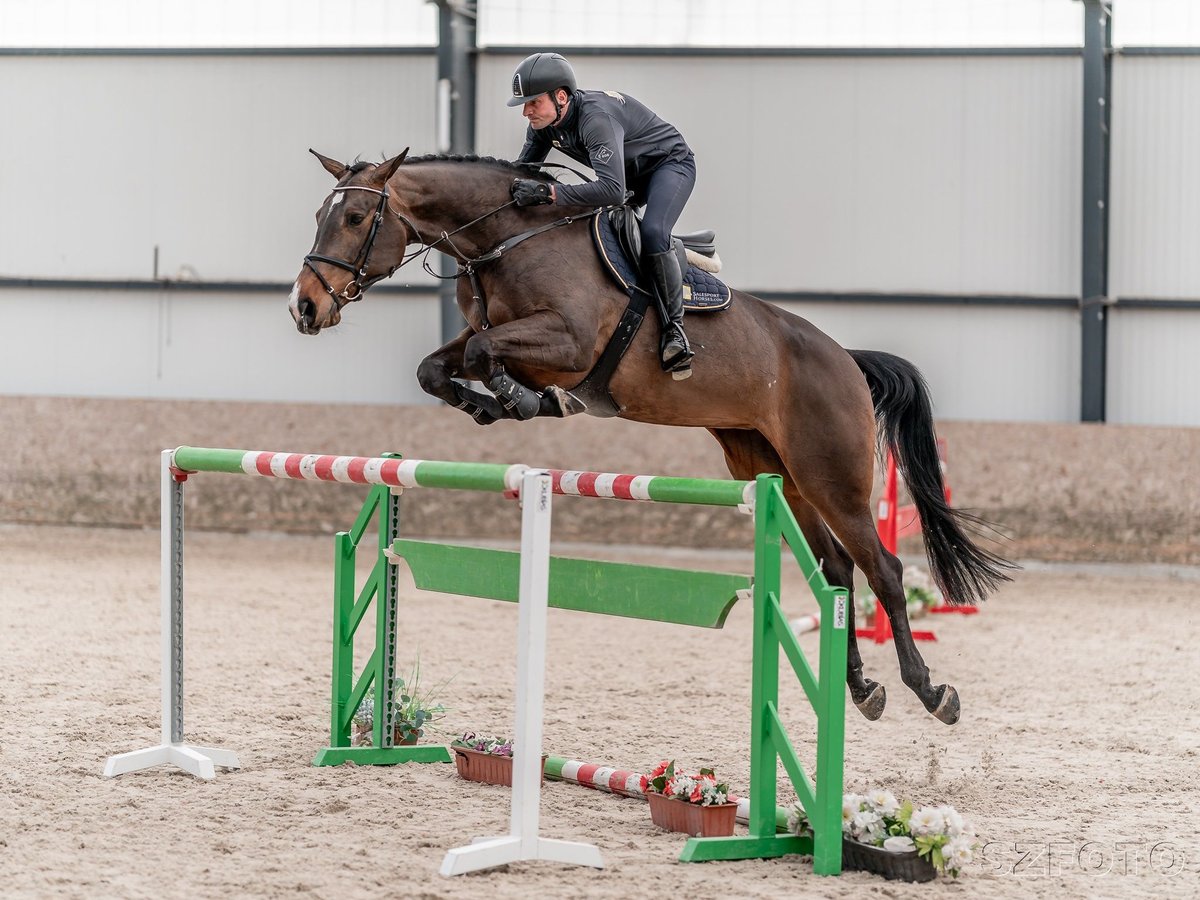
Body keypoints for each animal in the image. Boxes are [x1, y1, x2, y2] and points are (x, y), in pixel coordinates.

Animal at [290, 148, 1012, 724]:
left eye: (356, 218)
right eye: (321, 214)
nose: (305, 306)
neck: (509, 239)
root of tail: (847, 359)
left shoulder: (568, 343)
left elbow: (480, 355)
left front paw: (526, 401)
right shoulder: (490, 332)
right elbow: (440, 365)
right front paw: (493, 405)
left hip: (832, 475)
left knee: (882, 569)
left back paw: (931, 693)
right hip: (773, 472)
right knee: (834, 570)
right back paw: (860, 687)